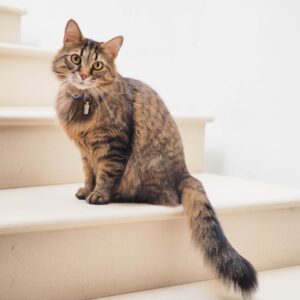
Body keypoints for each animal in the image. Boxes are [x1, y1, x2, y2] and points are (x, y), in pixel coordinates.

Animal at [52, 19, 258, 296]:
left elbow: (105, 174)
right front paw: (86, 190)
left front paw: (99, 195)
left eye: (97, 66)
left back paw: (118, 196)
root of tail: (185, 172)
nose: (84, 75)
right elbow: (89, 174)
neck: (82, 103)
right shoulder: (86, 152)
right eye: (75, 59)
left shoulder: (112, 145)